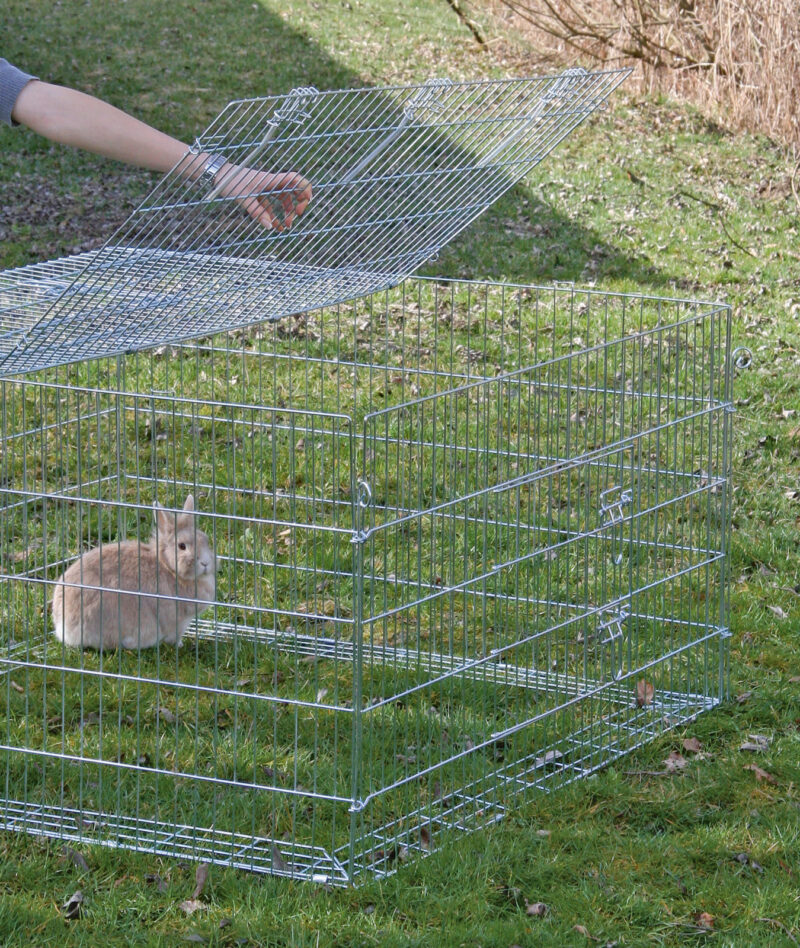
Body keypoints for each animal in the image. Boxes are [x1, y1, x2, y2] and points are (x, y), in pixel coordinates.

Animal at [52, 492, 217, 648]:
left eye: (205, 540)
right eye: (182, 546)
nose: (206, 563)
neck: (168, 567)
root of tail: (63, 626)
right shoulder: (178, 623)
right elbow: (174, 636)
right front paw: (180, 645)